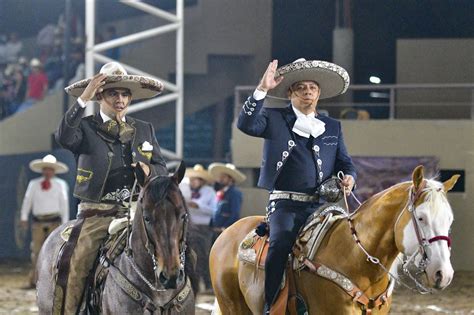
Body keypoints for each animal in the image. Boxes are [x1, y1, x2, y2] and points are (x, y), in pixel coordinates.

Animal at [211, 167, 460, 314]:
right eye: (421, 217)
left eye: (449, 219)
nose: (444, 274)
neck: (355, 257)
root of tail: (227, 233)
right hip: (231, 306)